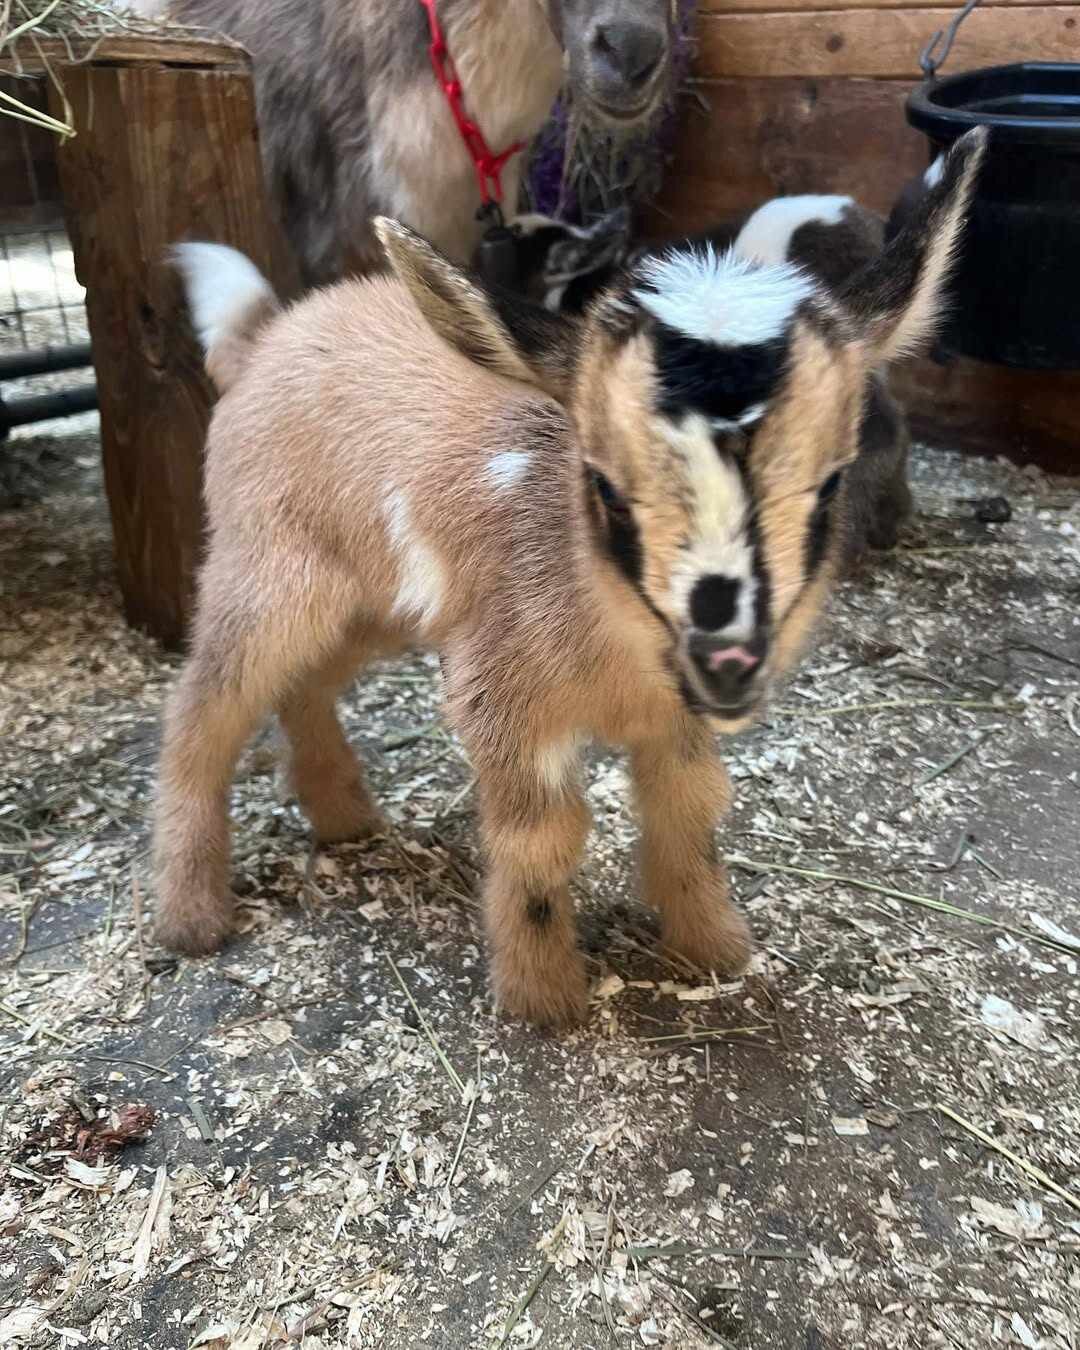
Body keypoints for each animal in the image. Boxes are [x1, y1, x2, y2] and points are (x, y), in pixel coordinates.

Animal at [153, 130, 985, 1027]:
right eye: (606, 486)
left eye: (829, 487)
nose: (728, 653)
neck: (617, 658)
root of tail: (268, 337)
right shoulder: (502, 700)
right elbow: (543, 841)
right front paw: (544, 999)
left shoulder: (670, 719)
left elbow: (691, 810)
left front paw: (714, 948)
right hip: (266, 565)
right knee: (204, 706)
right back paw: (192, 915)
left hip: (370, 601)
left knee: (303, 684)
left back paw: (346, 820)